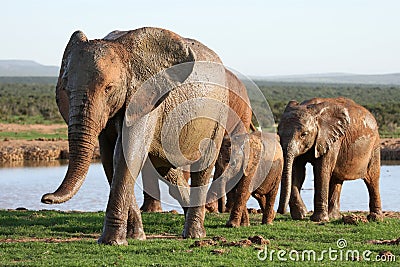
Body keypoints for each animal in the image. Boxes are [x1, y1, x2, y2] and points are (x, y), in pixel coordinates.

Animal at [39, 27, 231, 245]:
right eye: (66, 89)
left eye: (109, 88)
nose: (46, 198)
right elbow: (110, 158)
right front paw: (135, 237)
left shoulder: (146, 97)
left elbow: (127, 153)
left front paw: (112, 242)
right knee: (167, 170)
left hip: (219, 112)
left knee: (203, 165)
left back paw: (194, 234)